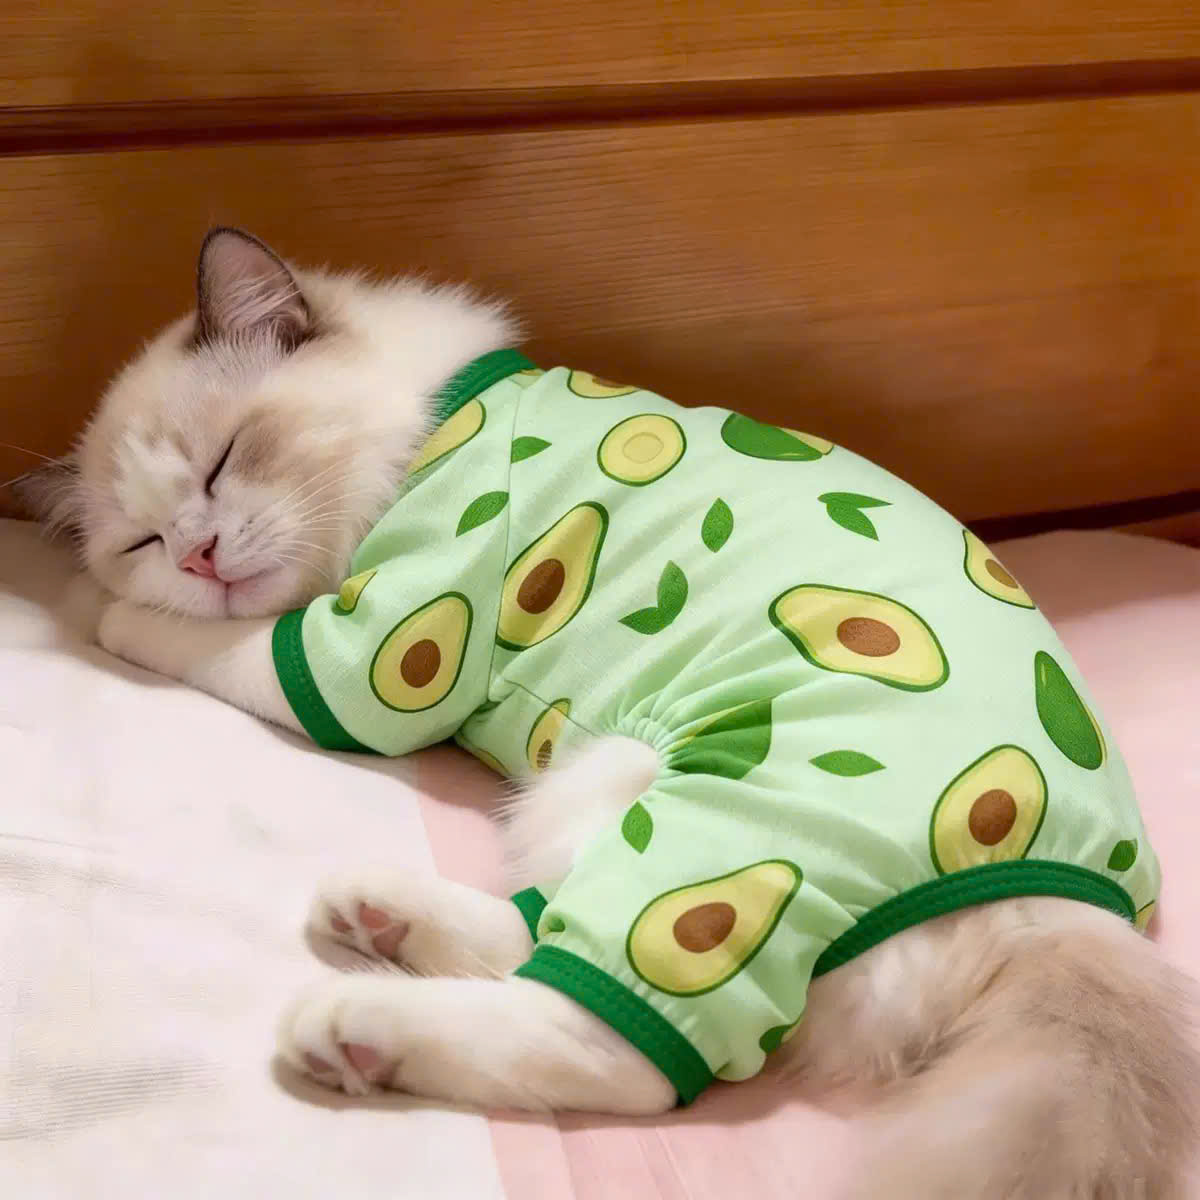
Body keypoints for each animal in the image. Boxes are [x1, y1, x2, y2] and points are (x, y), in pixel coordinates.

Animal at [20, 227, 1199, 1199]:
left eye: (225, 464)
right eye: (143, 538)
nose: (197, 557)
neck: (434, 413)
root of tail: (1061, 908)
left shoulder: (373, 655)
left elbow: (195, 641)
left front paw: (100, 615)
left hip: (709, 847)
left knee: (610, 1044)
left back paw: (353, 1021)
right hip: (610, 803)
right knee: (539, 939)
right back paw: (376, 914)